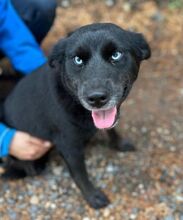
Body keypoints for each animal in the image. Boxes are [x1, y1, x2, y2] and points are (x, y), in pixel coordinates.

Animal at [1, 23, 150, 209]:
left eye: (116, 55)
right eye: (78, 60)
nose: (96, 98)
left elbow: (111, 130)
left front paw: (120, 143)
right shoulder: (69, 147)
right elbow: (80, 175)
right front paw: (93, 197)